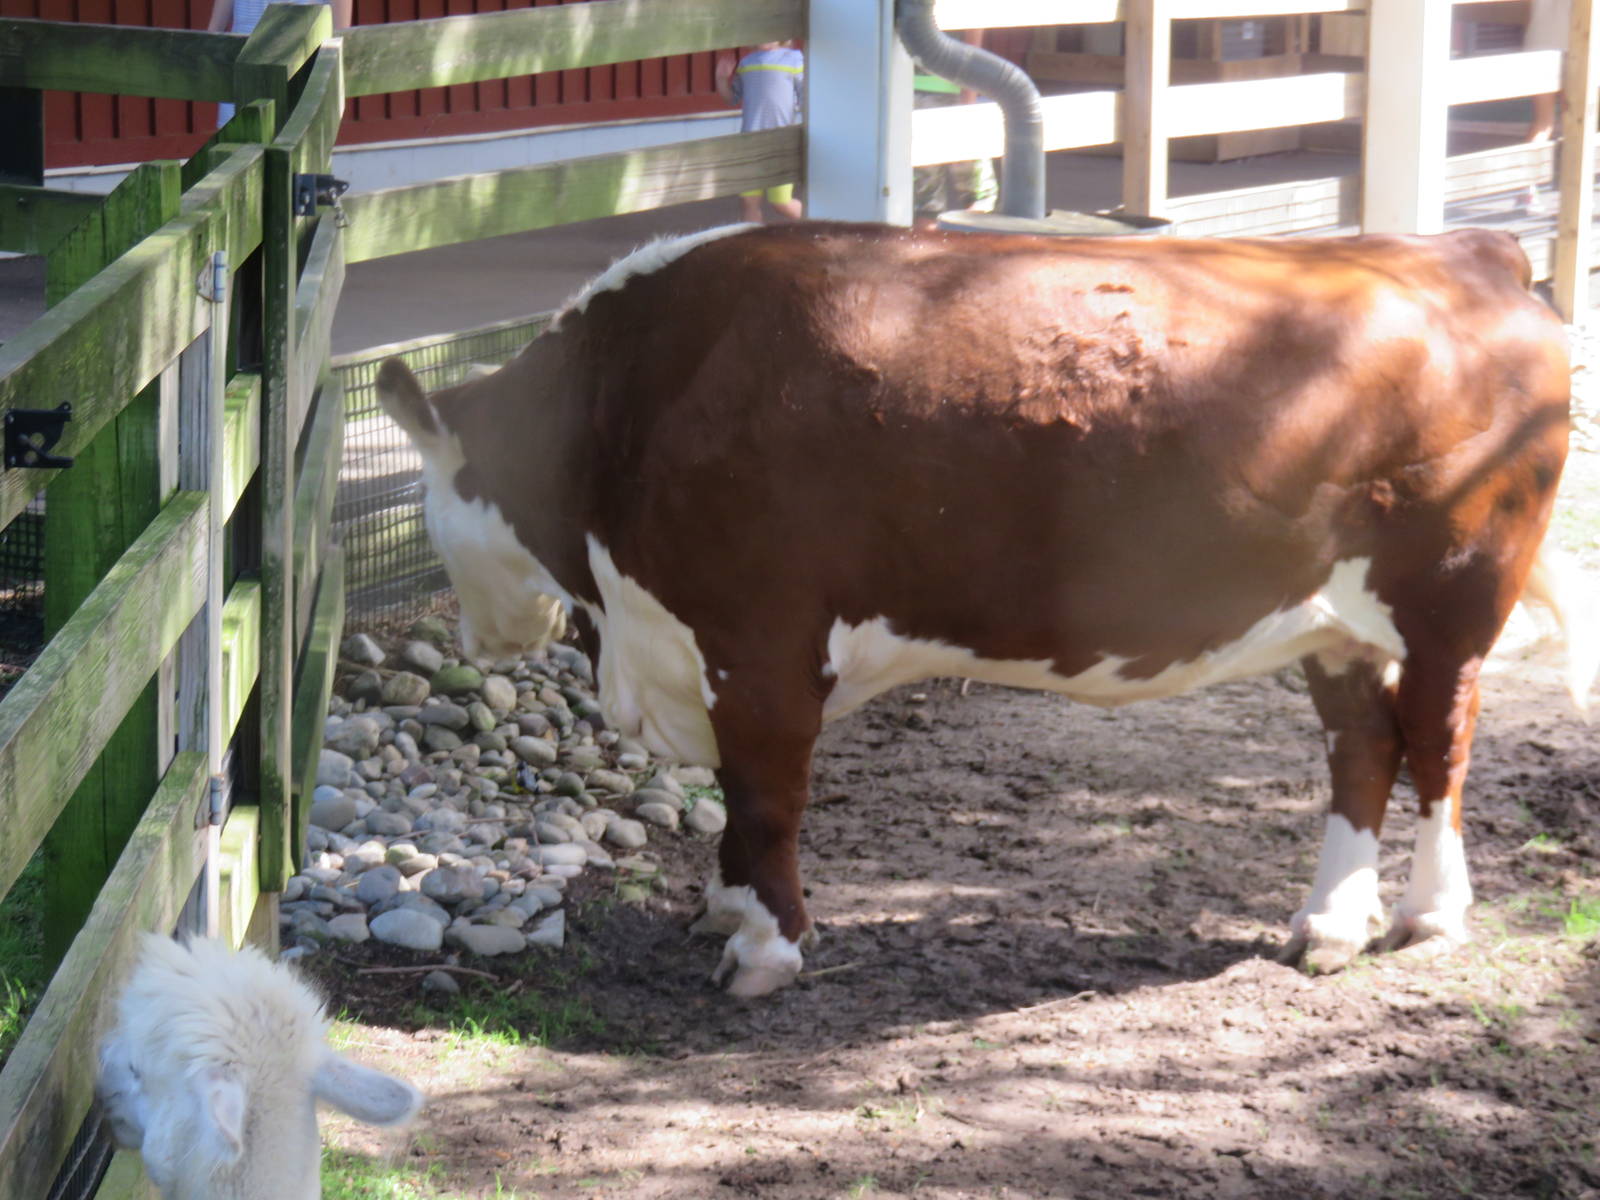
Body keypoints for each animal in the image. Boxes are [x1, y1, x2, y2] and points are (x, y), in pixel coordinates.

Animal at [376, 221, 1586, 997]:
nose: (476, 636)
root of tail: (1463, 249)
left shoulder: (757, 640)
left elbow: (765, 793)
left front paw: (766, 947)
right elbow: (731, 797)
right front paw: (724, 906)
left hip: (1453, 595)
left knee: (1438, 740)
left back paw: (1430, 914)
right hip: (1332, 620)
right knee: (1360, 747)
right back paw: (1329, 923)